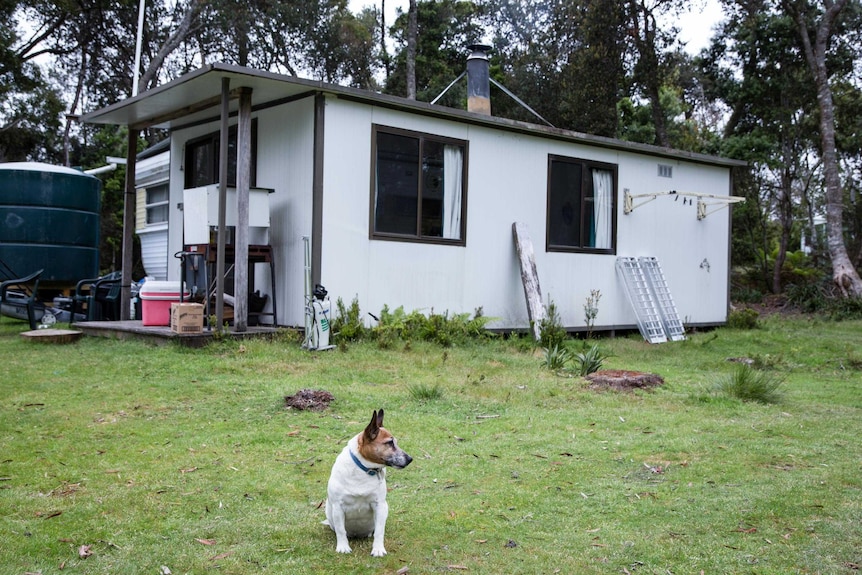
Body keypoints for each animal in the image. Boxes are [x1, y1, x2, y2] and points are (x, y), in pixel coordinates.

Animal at [328, 410, 416, 560]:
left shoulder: (380, 506)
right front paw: (343, 547)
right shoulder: (338, 507)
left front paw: (378, 549)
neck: (365, 470)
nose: (410, 459)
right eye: (390, 443)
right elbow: (340, 530)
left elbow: (380, 531)